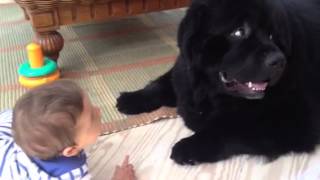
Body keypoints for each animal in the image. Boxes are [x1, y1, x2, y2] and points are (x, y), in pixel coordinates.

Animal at [116, 0, 320, 165]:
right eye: (239, 32)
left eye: (272, 35)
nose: (279, 61)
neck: (211, 91)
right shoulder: (185, 74)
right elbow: (163, 83)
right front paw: (132, 99)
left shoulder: (295, 119)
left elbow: (230, 128)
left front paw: (189, 146)